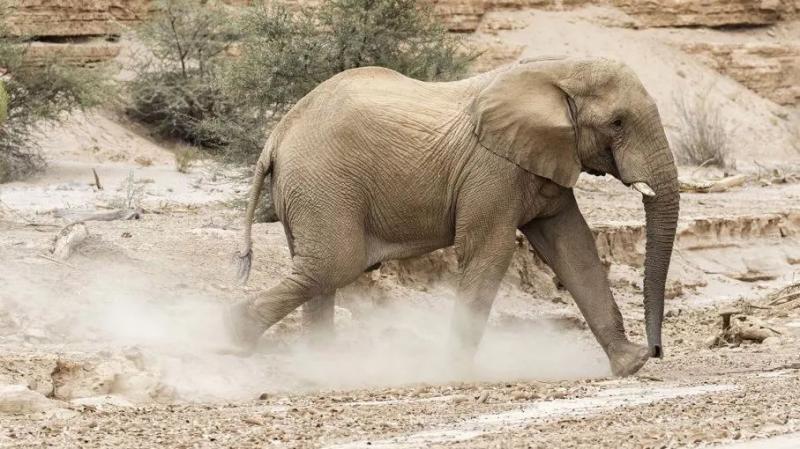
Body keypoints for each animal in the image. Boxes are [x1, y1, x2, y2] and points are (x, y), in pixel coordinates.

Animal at [226, 56, 680, 377]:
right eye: (617, 123)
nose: (657, 351)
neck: (556, 70)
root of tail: (277, 136)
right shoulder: (492, 167)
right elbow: (490, 251)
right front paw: (457, 373)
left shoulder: (545, 161)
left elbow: (574, 247)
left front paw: (631, 364)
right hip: (322, 185)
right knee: (332, 267)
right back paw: (232, 343)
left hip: (310, 191)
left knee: (320, 275)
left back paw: (323, 367)